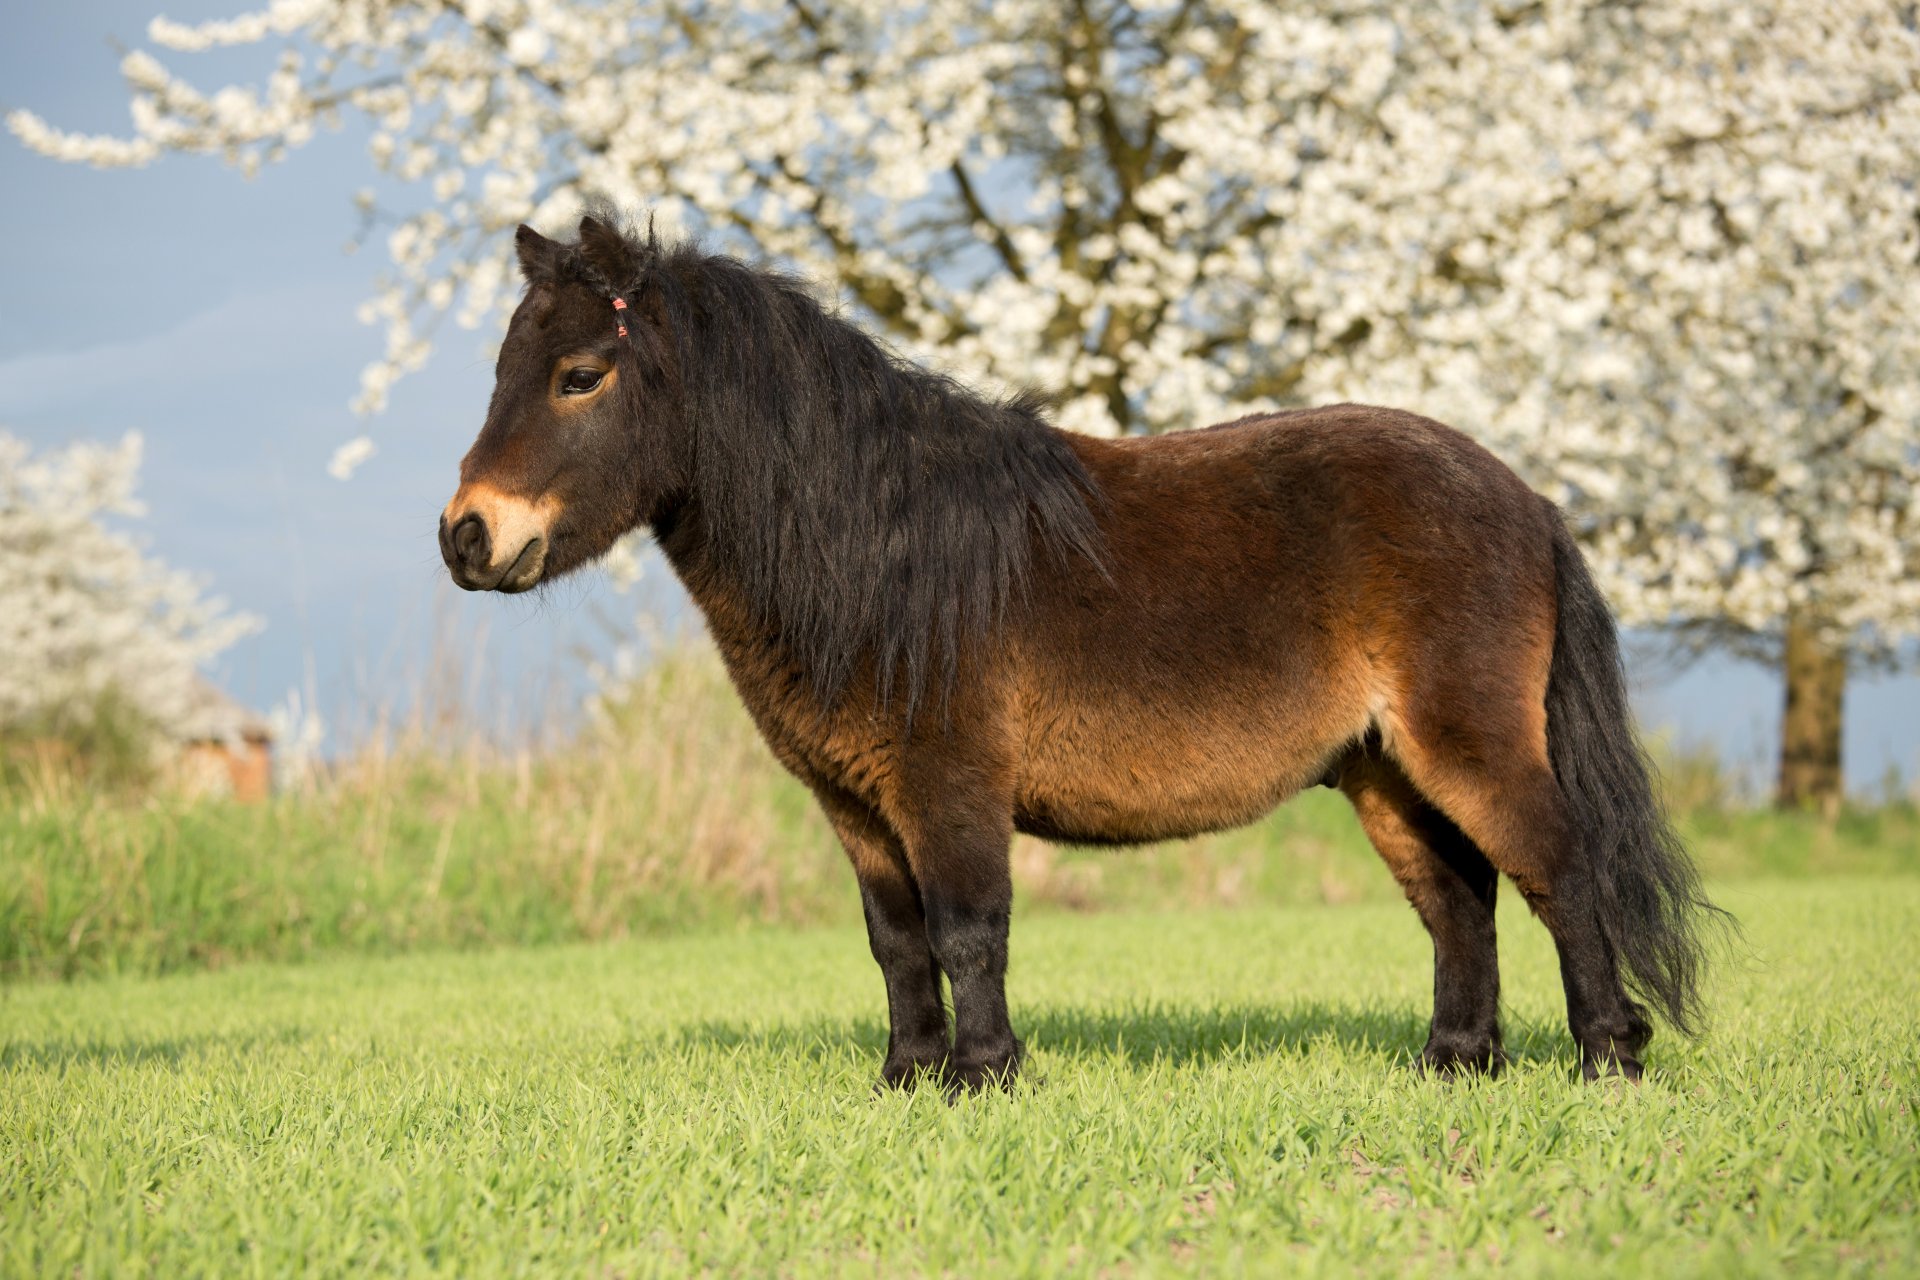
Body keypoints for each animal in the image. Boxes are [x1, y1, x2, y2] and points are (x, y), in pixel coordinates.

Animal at [440, 210, 1721, 1089]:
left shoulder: (950, 783)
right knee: (1458, 900)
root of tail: (1526, 498)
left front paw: (984, 1075)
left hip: (1469, 743)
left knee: (1561, 869)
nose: (467, 535)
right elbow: (897, 941)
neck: (881, 548)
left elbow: (968, 927)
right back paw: (1455, 1061)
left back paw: (1609, 1058)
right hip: (1383, 768)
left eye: (580, 375)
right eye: (499, 369)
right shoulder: (854, 802)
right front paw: (906, 1077)